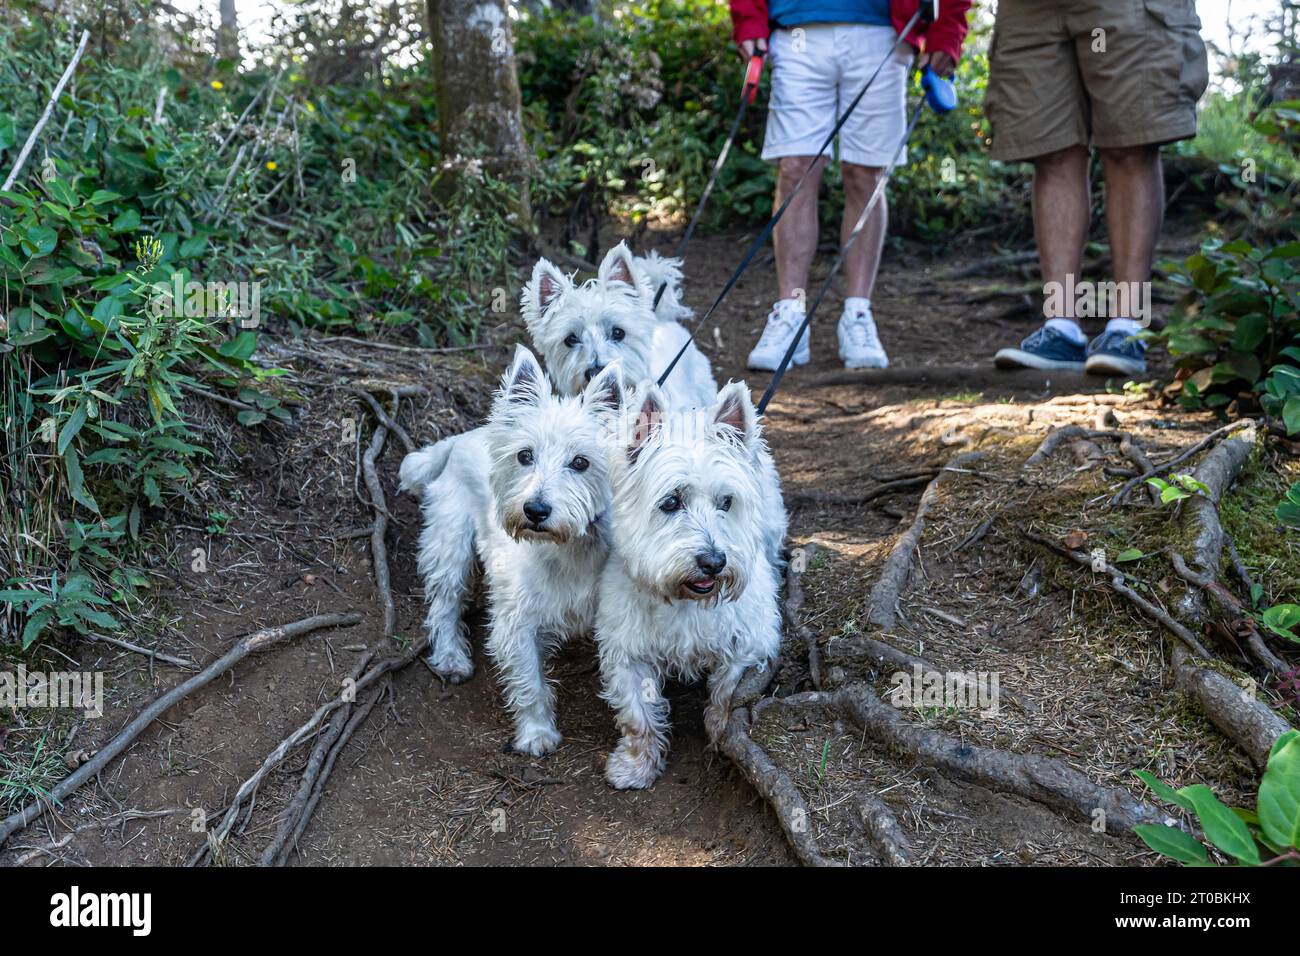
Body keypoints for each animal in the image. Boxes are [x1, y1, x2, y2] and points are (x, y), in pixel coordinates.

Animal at [395, 348, 624, 759]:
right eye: (525, 455)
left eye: (580, 462)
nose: (535, 510)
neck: (565, 547)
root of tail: (461, 437)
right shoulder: (515, 621)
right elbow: (528, 681)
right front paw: (537, 734)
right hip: (451, 541)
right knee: (444, 603)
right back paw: (452, 657)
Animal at [595, 377, 780, 790]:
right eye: (670, 502)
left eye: (726, 502)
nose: (714, 562)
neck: (686, 600)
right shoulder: (627, 649)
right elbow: (637, 714)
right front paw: (636, 766)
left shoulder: (749, 640)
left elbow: (727, 692)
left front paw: (719, 733)